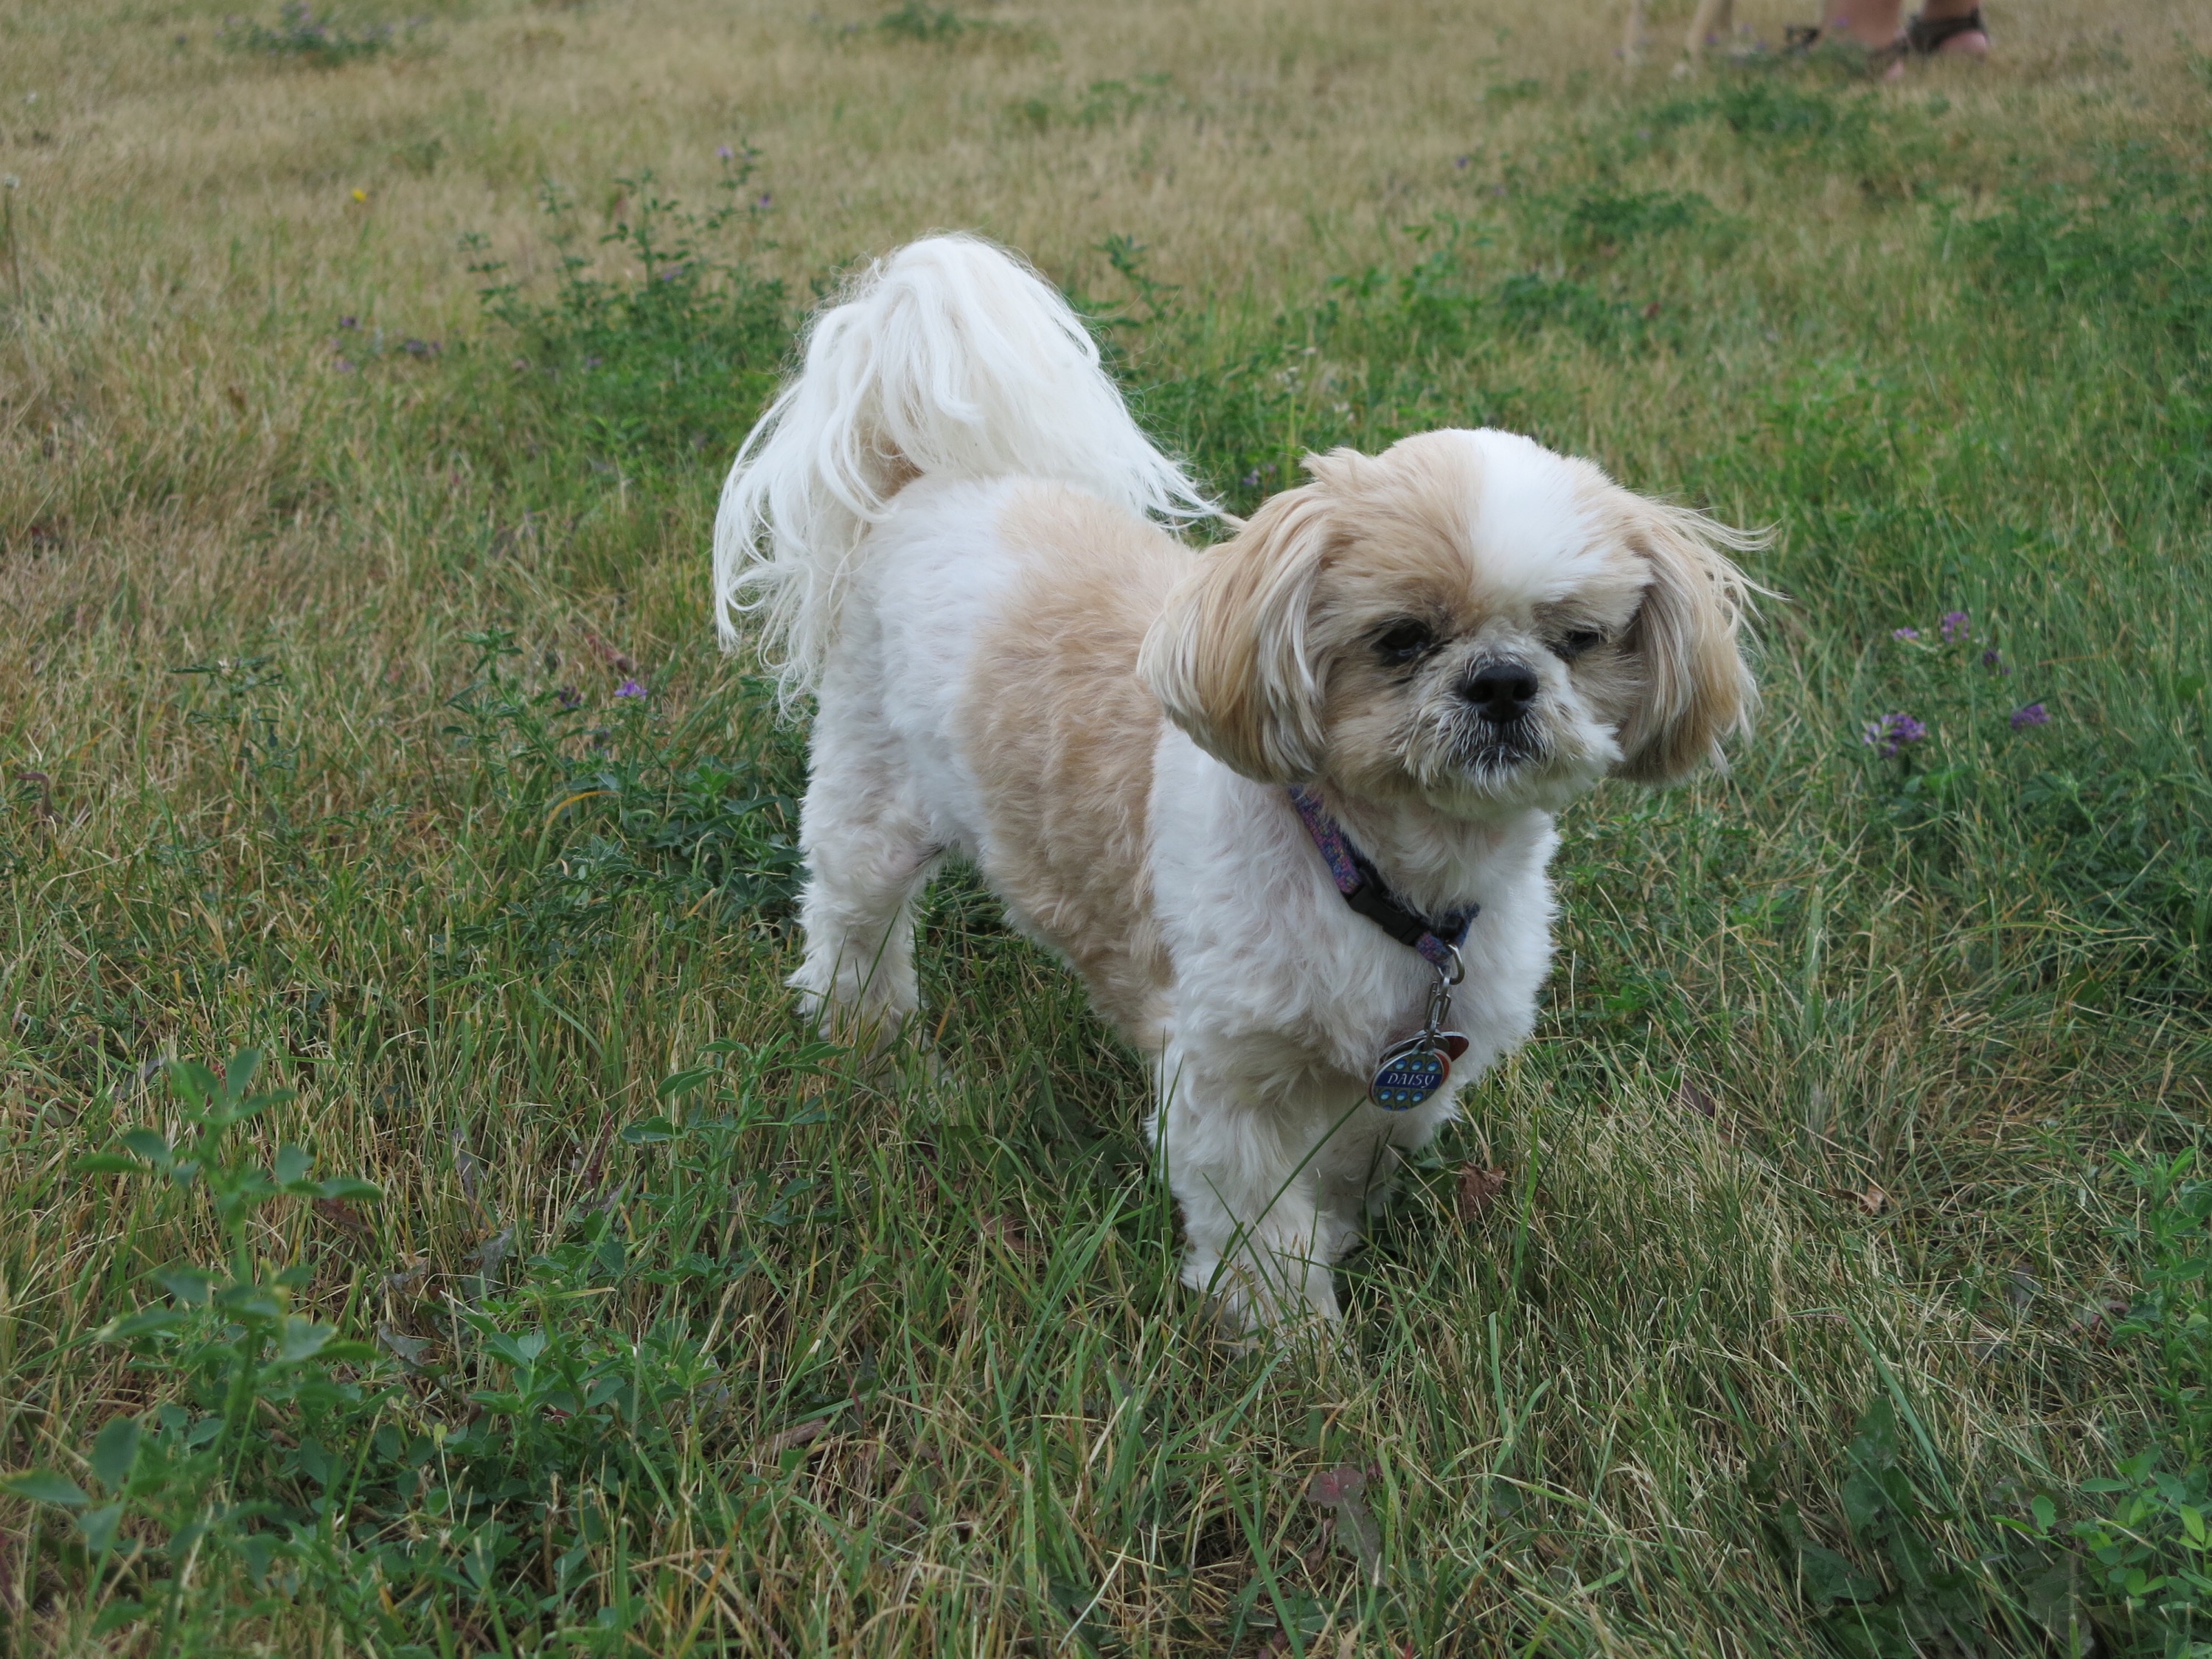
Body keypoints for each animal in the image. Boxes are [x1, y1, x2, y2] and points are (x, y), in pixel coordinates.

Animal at [714, 236, 1759, 1330]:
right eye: (1401, 639)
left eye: (1578, 640)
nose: (1504, 681)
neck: (1380, 873)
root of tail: (928, 484)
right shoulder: (1230, 1076)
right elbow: (1262, 1223)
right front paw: (1296, 1336)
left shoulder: (1405, 1074)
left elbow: (1342, 1171)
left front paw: (1337, 1240)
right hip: (870, 798)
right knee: (853, 922)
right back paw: (867, 1041)